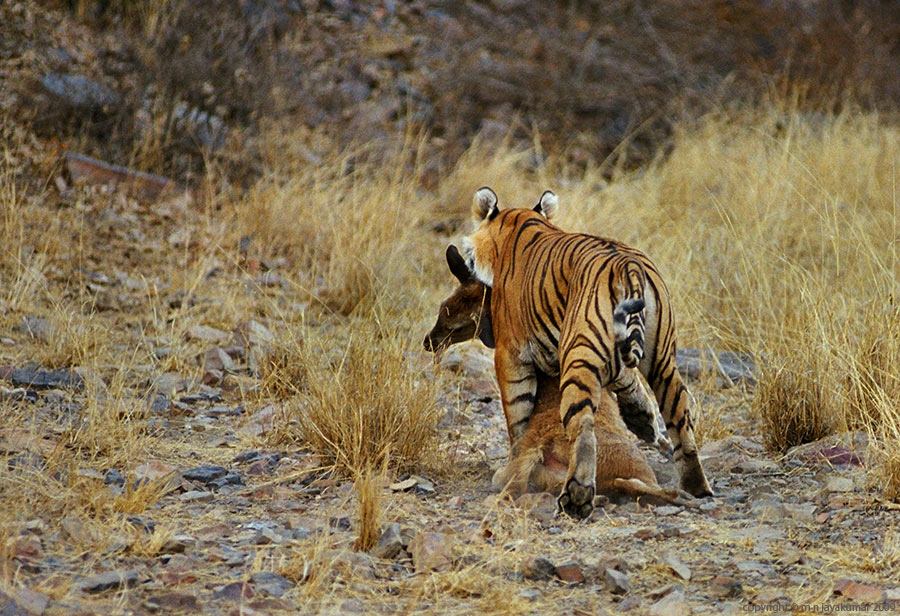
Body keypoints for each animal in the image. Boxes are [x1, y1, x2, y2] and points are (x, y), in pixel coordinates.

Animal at [426, 245, 692, 506]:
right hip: (633, 464)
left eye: (456, 322)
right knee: (632, 483)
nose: (429, 341)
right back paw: (680, 494)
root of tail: (545, 448)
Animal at [460, 188, 712, 520]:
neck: (519, 223)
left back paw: (577, 496)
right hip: (661, 361)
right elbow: (628, 382)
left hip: (580, 356)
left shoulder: (510, 353)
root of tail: (628, 266)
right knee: (679, 412)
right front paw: (642, 420)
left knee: (583, 426)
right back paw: (696, 488)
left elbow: (517, 415)